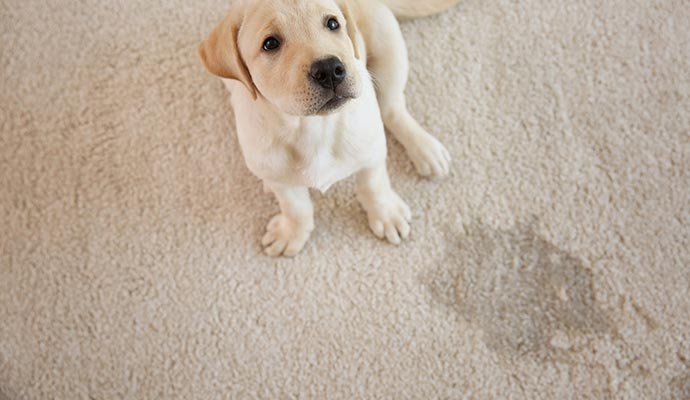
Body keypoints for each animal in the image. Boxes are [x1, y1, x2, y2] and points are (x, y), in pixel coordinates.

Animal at [199, 0, 456, 256]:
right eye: (270, 44)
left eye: (332, 23)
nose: (330, 68)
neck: (313, 126)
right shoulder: (278, 176)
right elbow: (296, 207)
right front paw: (292, 232)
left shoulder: (372, 151)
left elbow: (374, 185)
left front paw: (386, 214)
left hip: (388, 44)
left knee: (392, 108)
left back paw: (426, 149)